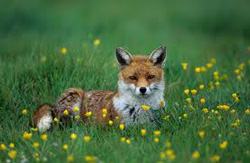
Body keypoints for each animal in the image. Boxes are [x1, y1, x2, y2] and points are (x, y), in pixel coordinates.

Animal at [32, 45, 167, 132]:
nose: (143, 89)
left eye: (150, 77)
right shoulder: (121, 128)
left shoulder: (153, 127)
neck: (140, 108)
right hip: (74, 96)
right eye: (133, 77)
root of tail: (53, 106)